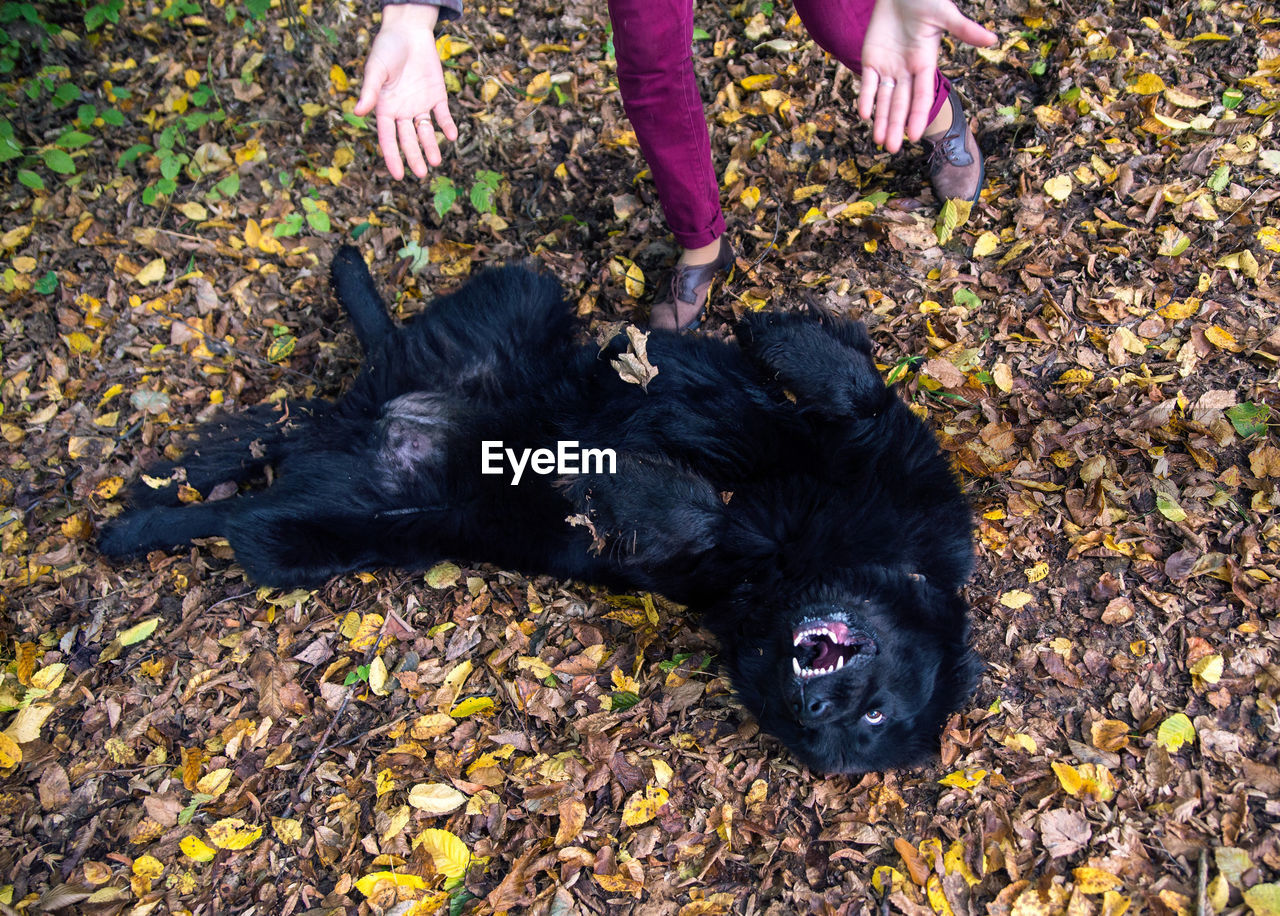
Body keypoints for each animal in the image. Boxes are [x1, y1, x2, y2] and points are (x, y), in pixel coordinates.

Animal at [99, 246, 977, 777]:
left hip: (318, 533)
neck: (814, 558)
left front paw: (612, 483)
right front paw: (774, 334)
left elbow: (694, 515)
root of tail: (387, 424)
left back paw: (128, 526)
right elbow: (855, 389)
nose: (814, 708)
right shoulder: (886, 461)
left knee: (242, 508)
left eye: (867, 723)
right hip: (520, 299)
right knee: (356, 370)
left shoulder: (712, 566)